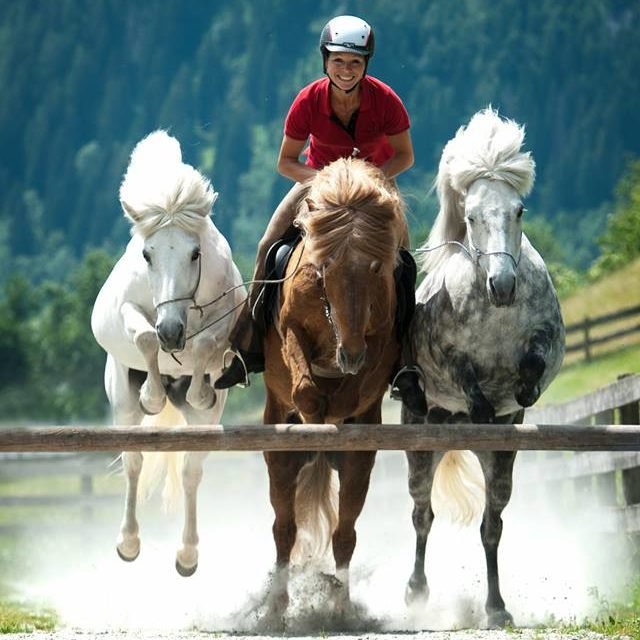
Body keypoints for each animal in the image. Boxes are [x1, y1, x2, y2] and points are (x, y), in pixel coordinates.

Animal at [91, 129, 246, 576]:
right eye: (147, 255)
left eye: (195, 254)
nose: (172, 332)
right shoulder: (132, 312)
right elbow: (144, 338)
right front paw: (153, 395)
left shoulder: (225, 323)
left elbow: (207, 345)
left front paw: (198, 387)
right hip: (121, 403)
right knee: (134, 460)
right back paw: (128, 543)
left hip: (207, 424)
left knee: (192, 469)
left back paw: (187, 555)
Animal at [260, 158, 404, 624]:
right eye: (323, 270)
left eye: (376, 269)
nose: (350, 354)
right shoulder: (291, 328)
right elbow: (306, 388)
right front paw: (314, 412)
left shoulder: (378, 341)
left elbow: (352, 391)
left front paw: (336, 402)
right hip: (278, 461)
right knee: (284, 529)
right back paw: (276, 609)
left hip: (359, 465)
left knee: (344, 533)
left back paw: (340, 606)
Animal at [404, 107, 564, 628]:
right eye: (472, 216)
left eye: (519, 211)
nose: (503, 286)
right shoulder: (446, 358)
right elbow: (464, 373)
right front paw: (479, 404)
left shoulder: (547, 344)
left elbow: (535, 362)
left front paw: (521, 391)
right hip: (420, 440)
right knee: (422, 513)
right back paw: (416, 592)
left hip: (499, 459)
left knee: (491, 524)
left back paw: (497, 607)